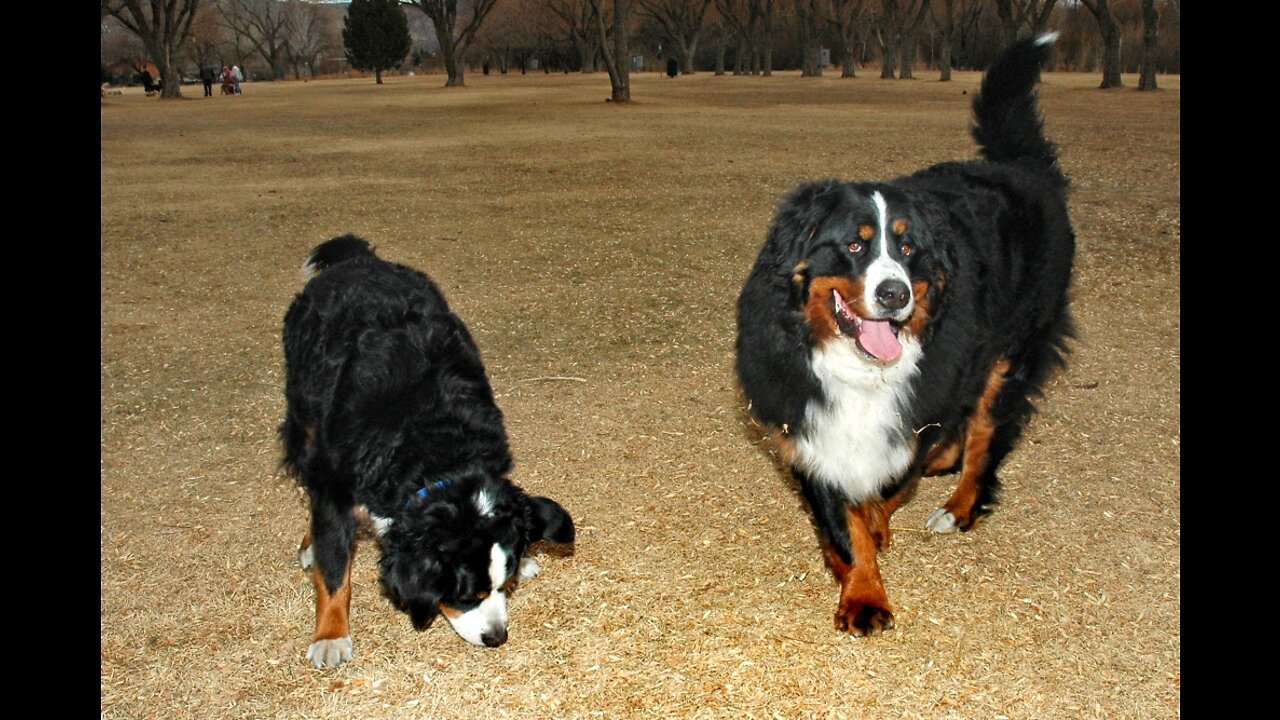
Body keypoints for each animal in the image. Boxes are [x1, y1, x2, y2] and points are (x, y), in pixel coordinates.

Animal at [285, 237, 581, 666]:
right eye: (466, 594)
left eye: (506, 587)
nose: (497, 637)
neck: (436, 452)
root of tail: (359, 261)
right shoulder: (335, 483)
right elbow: (335, 568)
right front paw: (331, 634)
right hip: (304, 416)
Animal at [737, 35, 1075, 632]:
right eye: (854, 245)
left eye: (909, 248)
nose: (896, 293)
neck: (860, 369)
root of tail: (1020, 168)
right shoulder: (806, 420)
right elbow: (844, 520)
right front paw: (862, 589)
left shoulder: (921, 404)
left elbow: (887, 487)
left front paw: (873, 540)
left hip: (1009, 355)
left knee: (983, 433)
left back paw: (958, 508)